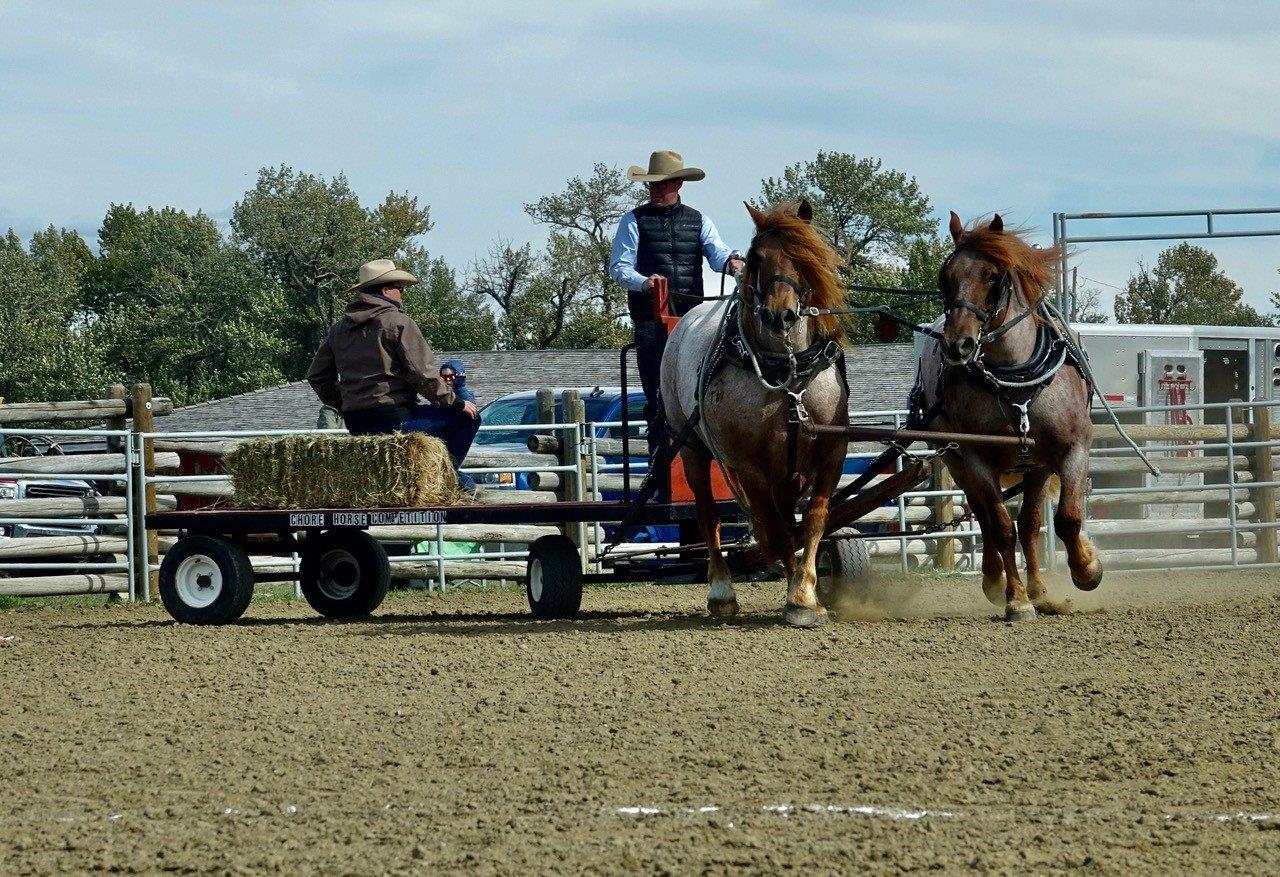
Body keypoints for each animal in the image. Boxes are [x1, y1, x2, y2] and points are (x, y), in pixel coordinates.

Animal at [660, 199, 849, 622]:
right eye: (758, 258)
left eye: (803, 256)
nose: (780, 315)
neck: (786, 372)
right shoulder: (749, 465)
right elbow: (774, 527)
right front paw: (797, 595)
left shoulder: (830, 453)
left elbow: (812, 519)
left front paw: (806, 593)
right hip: (692, 449)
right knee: (709, 515)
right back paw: (721, 591)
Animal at [921, 213, 1100, 622]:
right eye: (945, 275)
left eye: (993, 276)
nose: (958, 344)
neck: (1016, 377)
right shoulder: (977, 458)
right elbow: (1001, 527)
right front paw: (1015, 599)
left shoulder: (1072, 449)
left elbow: (1066, 518)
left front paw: (1086, 568)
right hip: (957, 463)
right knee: (986, 519)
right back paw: (995, 579)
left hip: (1036, 466)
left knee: (1031, 524)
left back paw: (1040, 589)